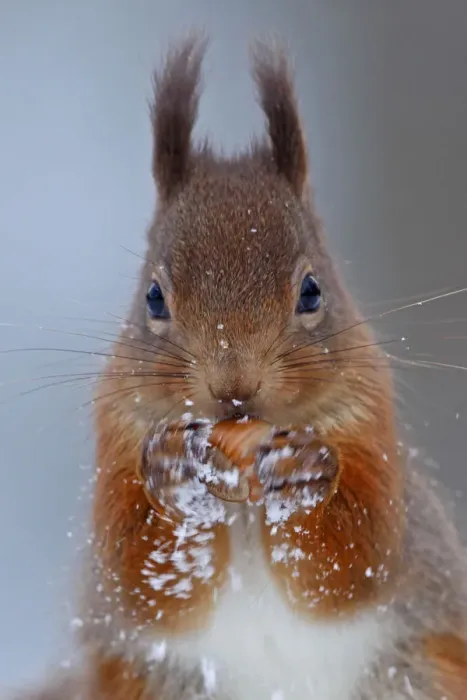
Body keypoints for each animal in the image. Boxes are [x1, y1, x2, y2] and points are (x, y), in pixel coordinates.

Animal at [13, 33, 467, 700]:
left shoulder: (372, 434)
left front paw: (303, 477)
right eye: (154, 297)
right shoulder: (117, 437)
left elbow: (357, 556)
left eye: (311, 291)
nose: (234, 386)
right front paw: (173, 475)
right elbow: (138, 576)